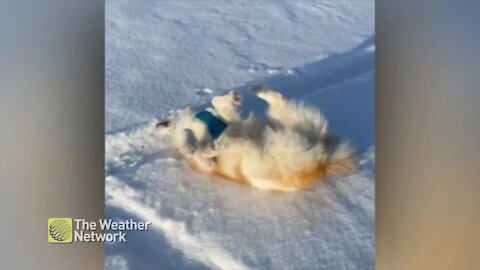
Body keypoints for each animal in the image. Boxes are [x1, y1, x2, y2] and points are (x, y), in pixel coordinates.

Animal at [158, 87, 356, 192]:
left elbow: (215, 103)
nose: (160, 123)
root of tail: (323, 161)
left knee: (277, 102)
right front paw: (192, 138)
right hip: (263, 161)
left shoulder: (229, 120)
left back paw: (260, 91)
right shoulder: (207, 164)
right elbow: (191, 143)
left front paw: (232, 99)